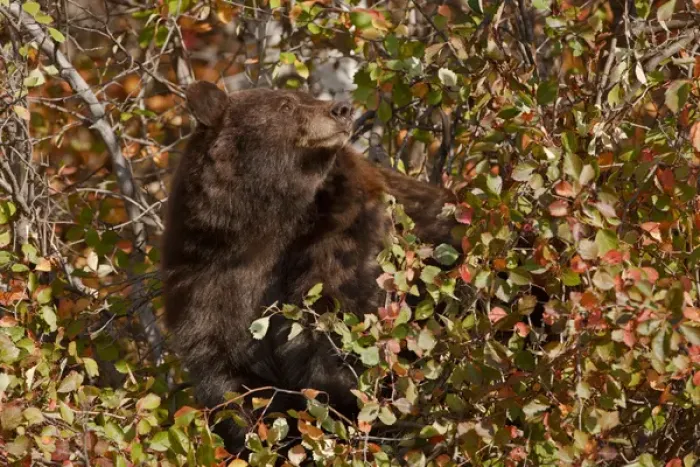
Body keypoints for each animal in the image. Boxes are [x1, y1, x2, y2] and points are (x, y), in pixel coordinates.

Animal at [161, 81, 460, 453]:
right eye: (286, 105)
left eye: (307, 96)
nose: (342, 109)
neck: (264, 222)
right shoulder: (202, 273)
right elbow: (228, 375)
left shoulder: (344, 235)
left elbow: (338, 332)